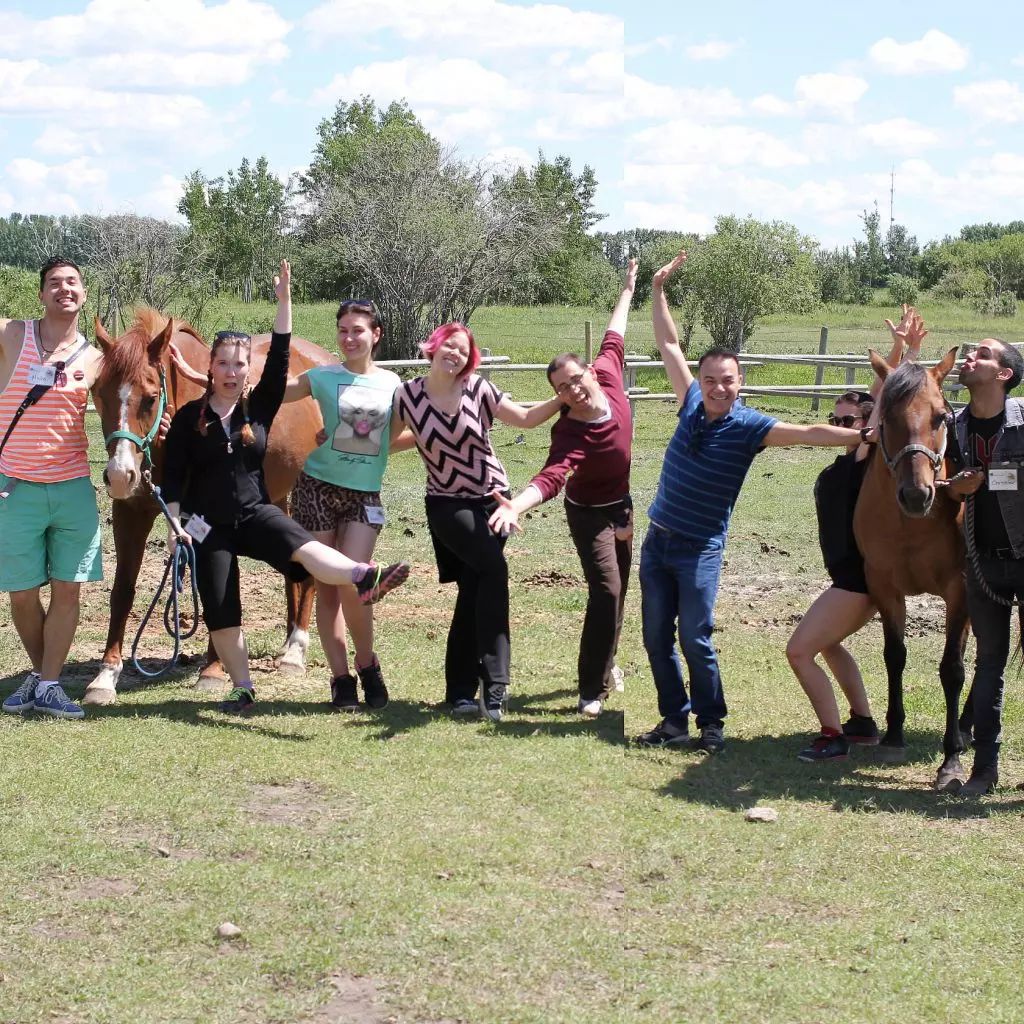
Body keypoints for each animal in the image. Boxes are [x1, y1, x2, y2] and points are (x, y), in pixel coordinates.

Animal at [84, 309, 331, 704]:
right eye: (99, 393)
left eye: (150, 397)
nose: (120, 475)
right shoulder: (131, 513)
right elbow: (123, 589)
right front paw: (105, 676)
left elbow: (218, 591)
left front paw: (214, 670)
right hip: (277, 496)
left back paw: (295, 651)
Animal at [851, 344, 970, 790]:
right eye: (887, 419)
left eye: (941, 417)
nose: (917, 495)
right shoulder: (885, 587)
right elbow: (894, 656)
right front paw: (893, 735)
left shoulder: (961, 589)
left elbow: (952, 669)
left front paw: (951, 760)